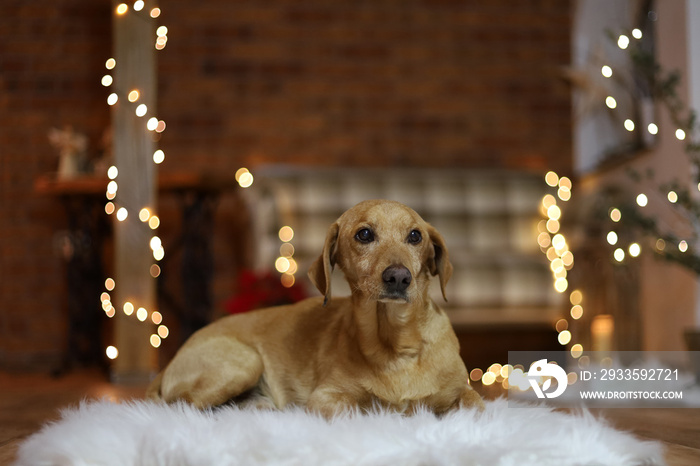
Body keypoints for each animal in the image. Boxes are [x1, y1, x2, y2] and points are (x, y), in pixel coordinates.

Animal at [148, 198, 484, 416]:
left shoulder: (465, 393)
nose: (399, 277)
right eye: (364, 234)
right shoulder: (326, 398)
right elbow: (359, 408)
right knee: (182, 406)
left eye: (415, 236)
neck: (396, 344)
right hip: (242, 362)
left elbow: (474, 406)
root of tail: (166, 368)